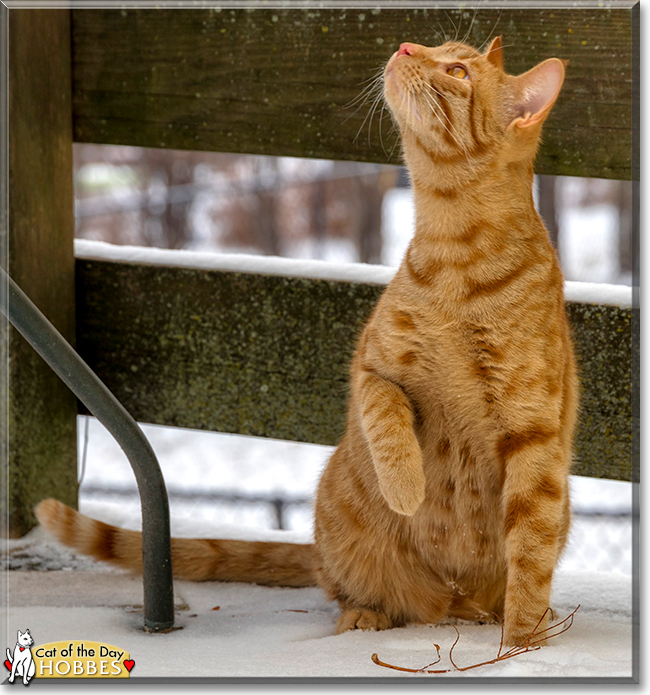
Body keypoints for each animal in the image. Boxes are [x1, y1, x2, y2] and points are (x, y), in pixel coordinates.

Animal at [36, 36, 572, 648]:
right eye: (437, 46)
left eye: (457, 71)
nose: (406, 46)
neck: (456, 254)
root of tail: (451, 603)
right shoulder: (372, 370)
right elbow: (387, 423)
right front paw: (406, 489)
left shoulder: (534, 435)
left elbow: (529, 553)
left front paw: (523, 644)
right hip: (342, 518)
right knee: (363, 594)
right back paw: (367, 616)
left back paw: (498, 615)